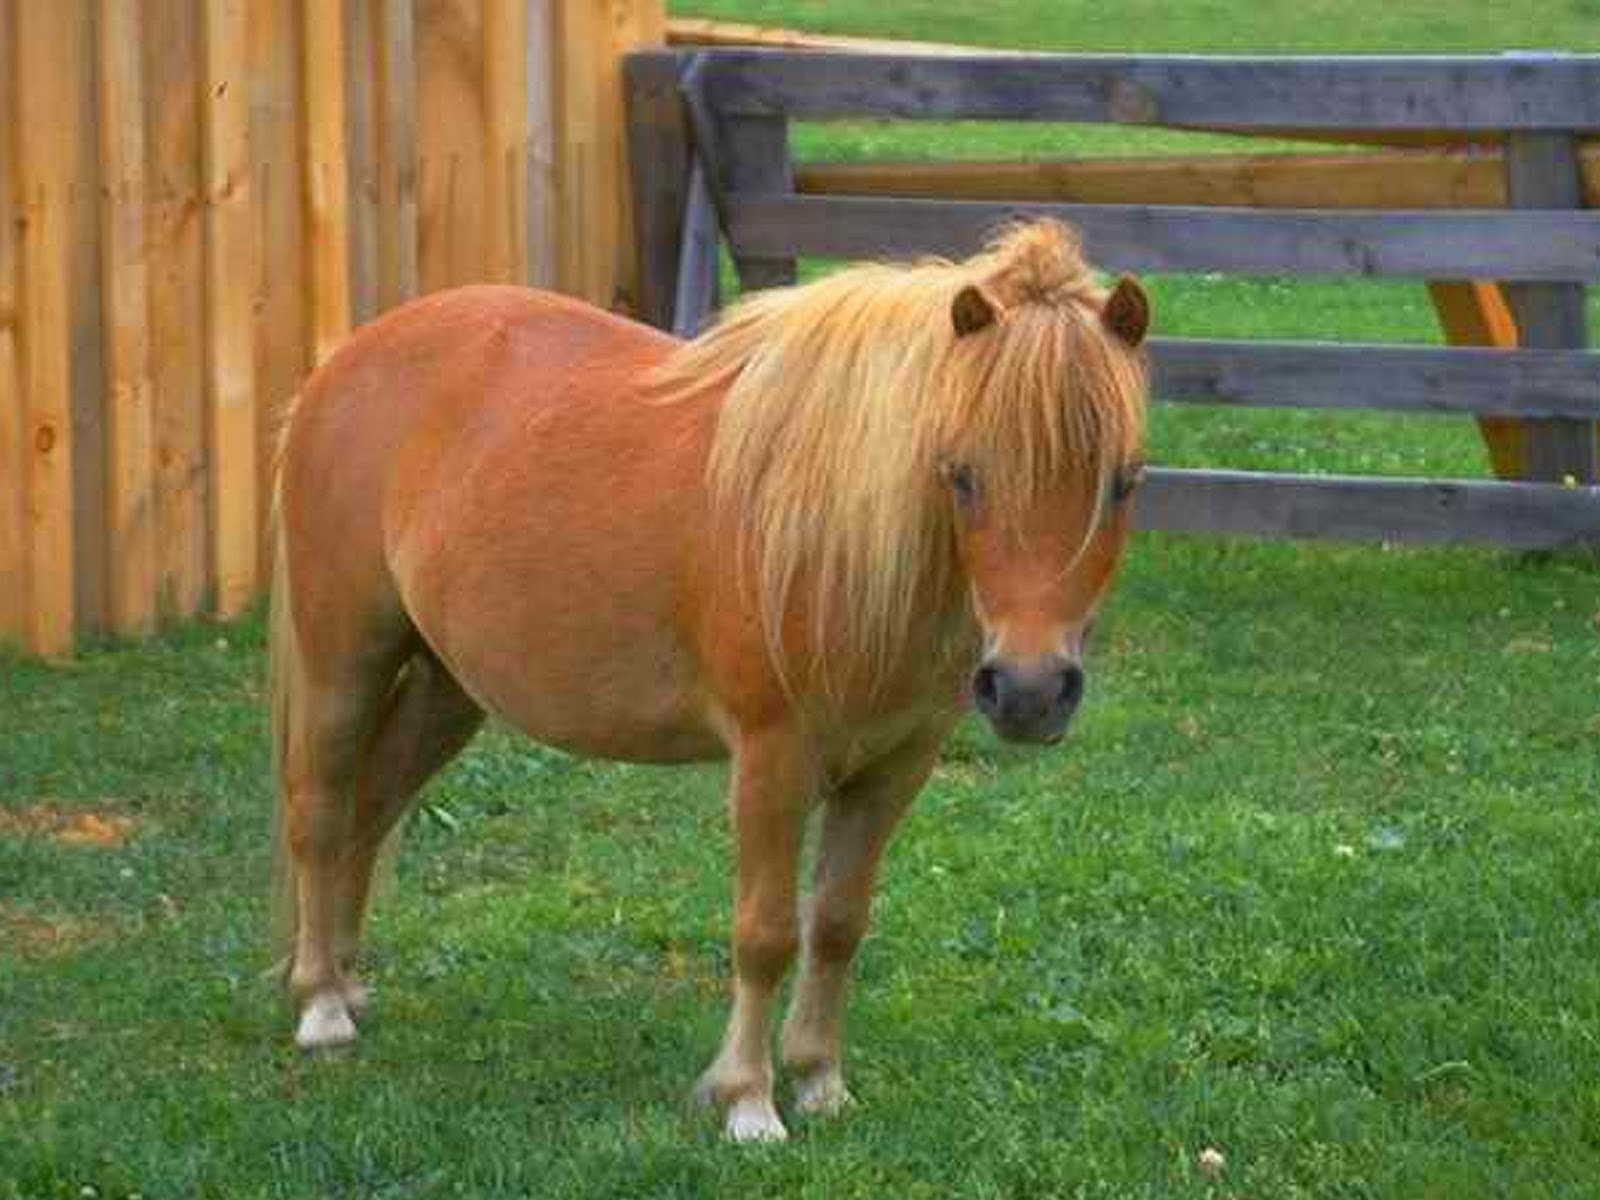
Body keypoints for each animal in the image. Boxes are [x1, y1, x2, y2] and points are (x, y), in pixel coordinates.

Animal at [269, 218, 1150, 1142]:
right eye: (963, 474)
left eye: (1124, 480)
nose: (1029, 691)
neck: (834, 533)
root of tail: (344, 361)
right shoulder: (772, 760)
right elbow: (765, 933)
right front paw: (748, 1102)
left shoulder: (893, 767)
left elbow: (838, 922)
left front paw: (820, 1081)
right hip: (343, 660)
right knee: (319, 812)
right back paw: (321, 1007)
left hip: (448, 689)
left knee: (371, 808)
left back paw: (348, 981)